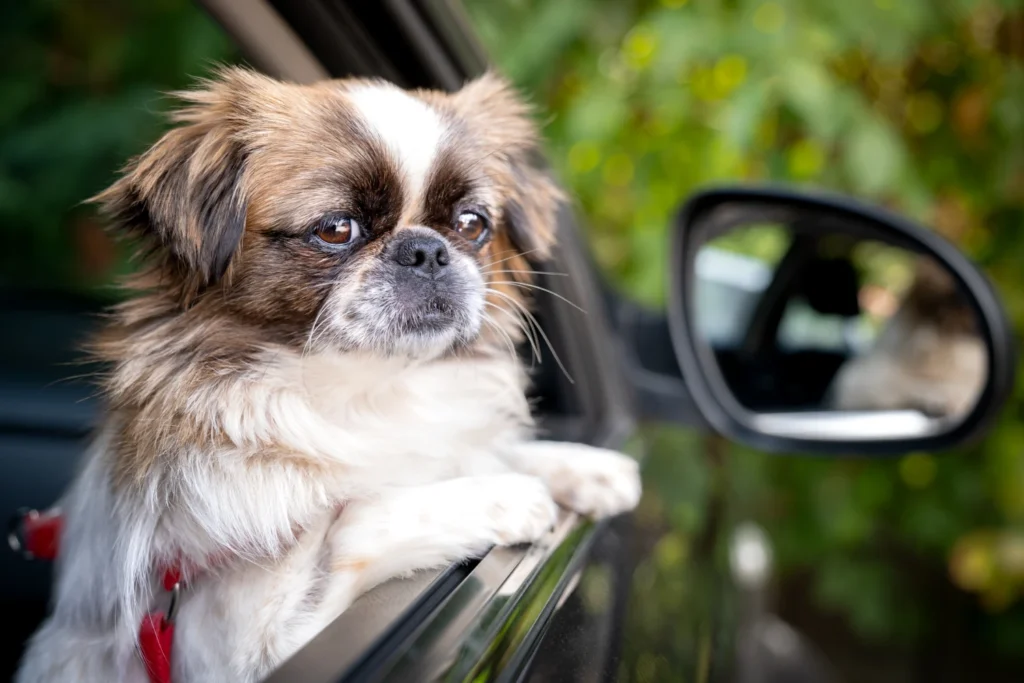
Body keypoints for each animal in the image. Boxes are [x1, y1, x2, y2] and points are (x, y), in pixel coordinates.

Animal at [14, 68, 638, 683]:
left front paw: (588, 468)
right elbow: (356, 516)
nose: (426, 250)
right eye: (336, 229)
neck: (366, 390)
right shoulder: (245, 640)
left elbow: (483, 451)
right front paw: (503, 498)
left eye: (470, 224)